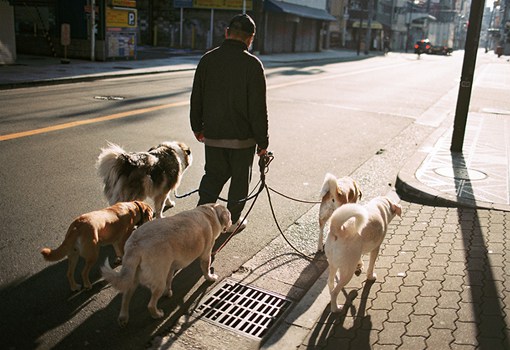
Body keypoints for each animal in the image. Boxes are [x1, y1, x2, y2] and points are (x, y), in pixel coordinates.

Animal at [101, 204, 231, 326]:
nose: (231, 222)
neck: (209, 212)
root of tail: (135, 245)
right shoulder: (206, 254)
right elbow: (206, 268)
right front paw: (210, 277)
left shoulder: (170, 266)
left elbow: (169, 279)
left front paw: (168, 292)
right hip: (158, 281)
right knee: (150, 305)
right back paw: (157, 314)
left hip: (133, 275)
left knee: (125, 297)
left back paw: (123, 317)